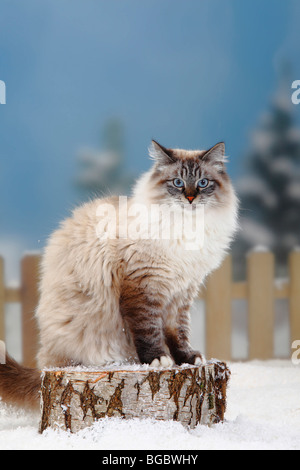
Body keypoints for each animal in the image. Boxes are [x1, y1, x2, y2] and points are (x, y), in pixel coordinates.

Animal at [0, 139, 239, 408]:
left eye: (203, 183)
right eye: (177, 182)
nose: (190, 198)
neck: (187, 233)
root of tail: (44, 369)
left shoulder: (182, 292)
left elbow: (178, 333)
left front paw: (187, 358)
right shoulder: (144, 285)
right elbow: (148, 330)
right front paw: (158, 360)